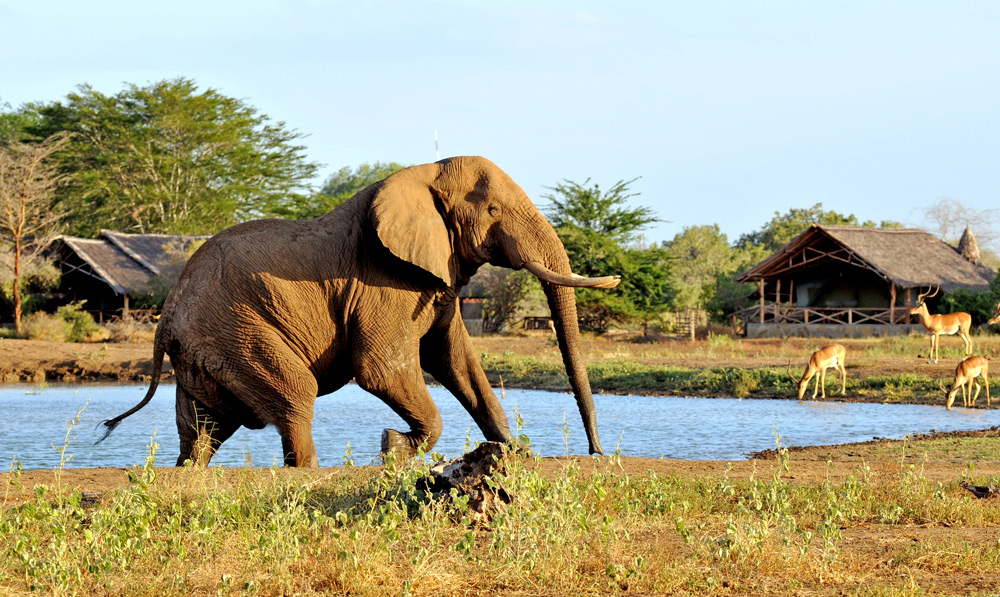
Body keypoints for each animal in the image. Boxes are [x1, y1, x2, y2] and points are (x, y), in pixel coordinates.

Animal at [99, 154, 616, 466]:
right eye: (492, 210)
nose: (596, 452)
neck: (425, 172)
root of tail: (165, 317)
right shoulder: (382, 282)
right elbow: (383, 368)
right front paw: (393, 448)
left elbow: (456, 362)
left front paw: (517, 453)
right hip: (237, 333)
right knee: (294, 395)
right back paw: (308, 472)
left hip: (206, 348)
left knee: (202, 426)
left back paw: (190, 471)